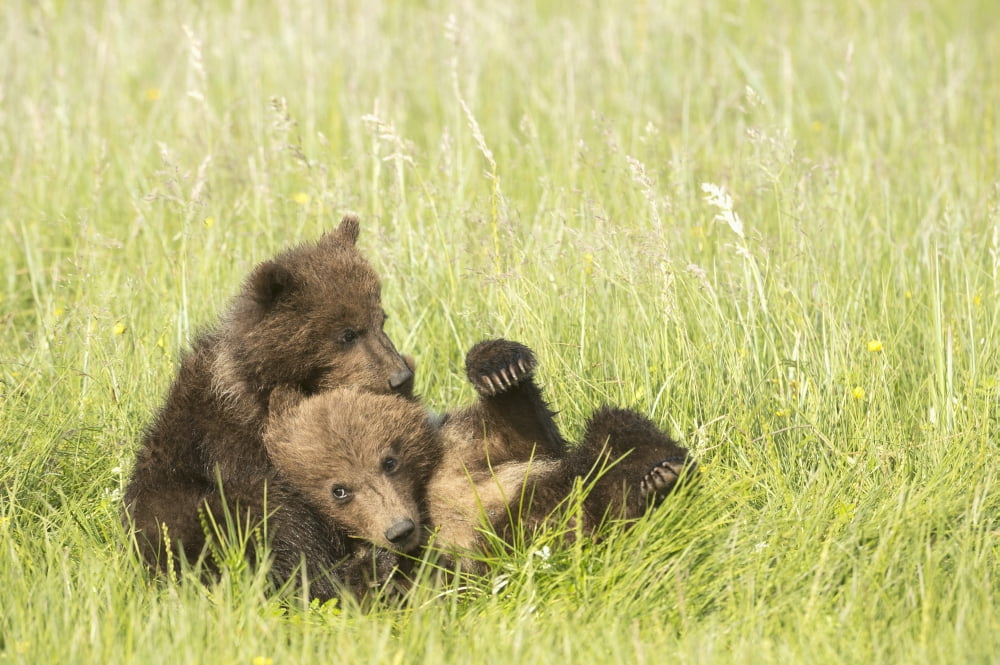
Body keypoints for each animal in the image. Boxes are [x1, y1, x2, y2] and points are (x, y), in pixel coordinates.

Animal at [263, 338, 695, 583]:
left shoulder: (466, 451)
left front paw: (498, 366)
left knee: (615, 428)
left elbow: (524, 431)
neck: (424, 498)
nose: (398, 530)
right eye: (339, 490)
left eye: (389, 461)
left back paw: (660, 473)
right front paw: (381, 565)